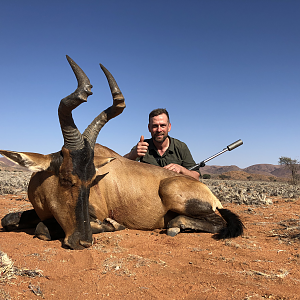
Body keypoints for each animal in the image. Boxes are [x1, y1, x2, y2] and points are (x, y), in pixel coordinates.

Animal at [0, 56, 244, 248]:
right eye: (66, 178)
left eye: (92, 181)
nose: (83, 242)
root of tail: (211, 194)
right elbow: (9, 219)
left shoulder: (96, 211)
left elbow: (43, 229)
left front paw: (112, 225)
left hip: (174, 193)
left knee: (217, 222)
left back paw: (175, 226)